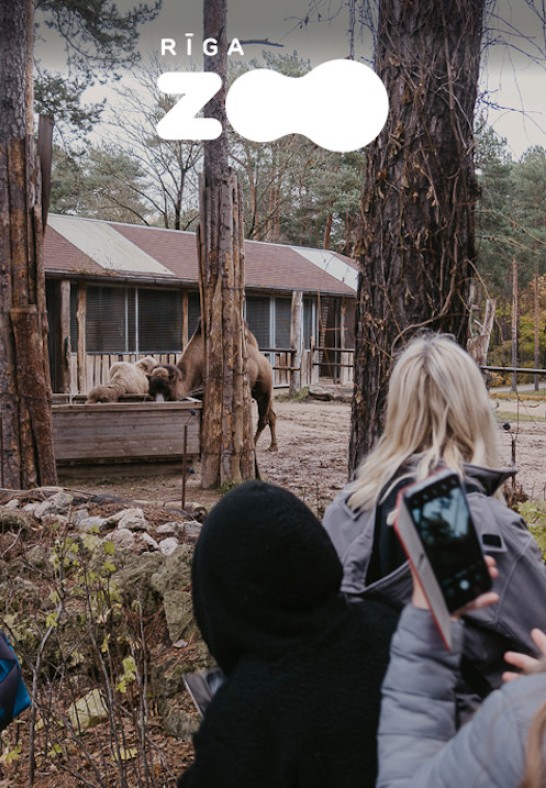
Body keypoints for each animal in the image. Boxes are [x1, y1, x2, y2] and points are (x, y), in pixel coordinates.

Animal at [149, 322, 276, 450]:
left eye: (167, 388)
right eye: (151, 389)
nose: (158, 404)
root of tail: (264, 359)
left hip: (263, 389)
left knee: (262, 420)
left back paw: (253, 445)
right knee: (271, 415)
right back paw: (273, 446)